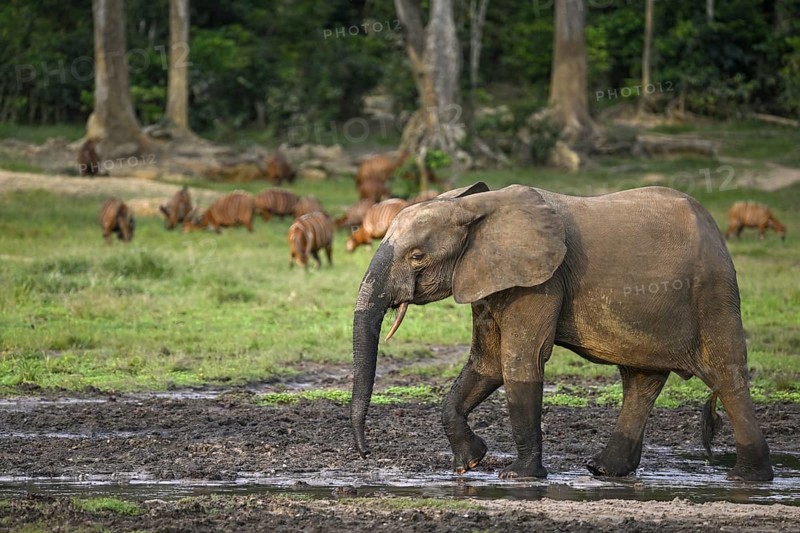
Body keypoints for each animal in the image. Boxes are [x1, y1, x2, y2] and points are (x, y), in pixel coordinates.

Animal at [350, 182, 774, 482]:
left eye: (417, 256)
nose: (366, 453)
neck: (476, 208)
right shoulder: (487, 277)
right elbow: (486, 365)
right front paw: (469, 464)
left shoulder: (542, 280)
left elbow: (519, 361)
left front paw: (517, 477)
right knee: (641, 382)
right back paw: (604, 471)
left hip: (713, 294)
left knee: (727, 377)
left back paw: (748, 478)